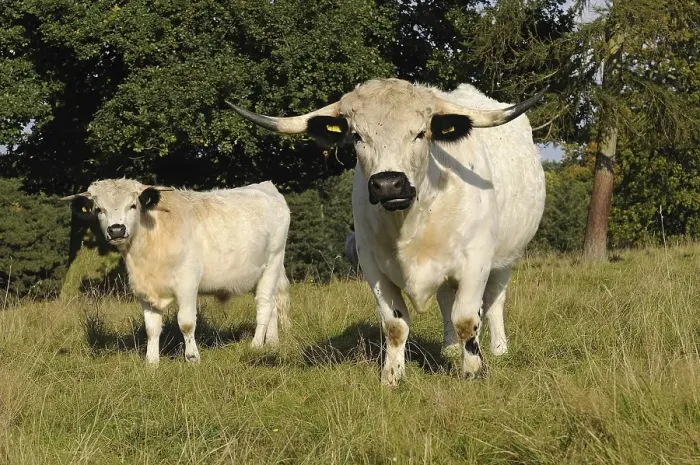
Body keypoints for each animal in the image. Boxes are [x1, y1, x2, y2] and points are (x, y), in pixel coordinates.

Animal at [62, 178, 291, 365]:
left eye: (133, 205)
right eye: (99, 209)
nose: (116, 229)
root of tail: (266, 186)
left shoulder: (187, 283)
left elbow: (186, 323)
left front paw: (192, 357)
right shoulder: (144, 290)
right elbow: (151, 328)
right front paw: (151, 362)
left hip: (272, 264)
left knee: (265, 305)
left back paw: (256, 345)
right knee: (272, 307)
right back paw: (272, 343)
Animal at [226, 78, 545, 385]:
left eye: (420, 133)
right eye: (357, 135)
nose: (389, 184)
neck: (412, 220)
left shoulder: (476, 259)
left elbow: (467, 319)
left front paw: (474, 372)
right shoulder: (373, 265)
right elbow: (395, 324)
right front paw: (391, 377)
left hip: (504, 258)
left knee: (494, 302)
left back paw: (499, 349)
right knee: (445, 301)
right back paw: (449, 348)